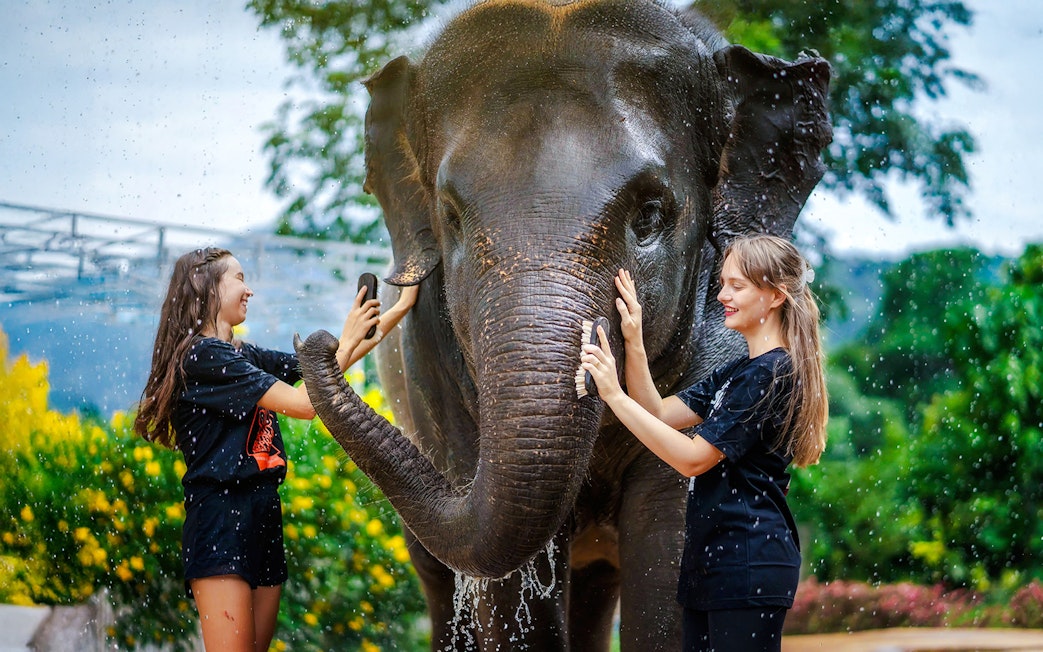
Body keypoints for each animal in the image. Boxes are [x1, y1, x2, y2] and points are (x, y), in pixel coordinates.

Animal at [295, 0, 832, 649]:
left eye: (651, 214)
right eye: (450, 217)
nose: (328, 332)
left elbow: (676, 531)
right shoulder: (432, 373)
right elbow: (511, 588)